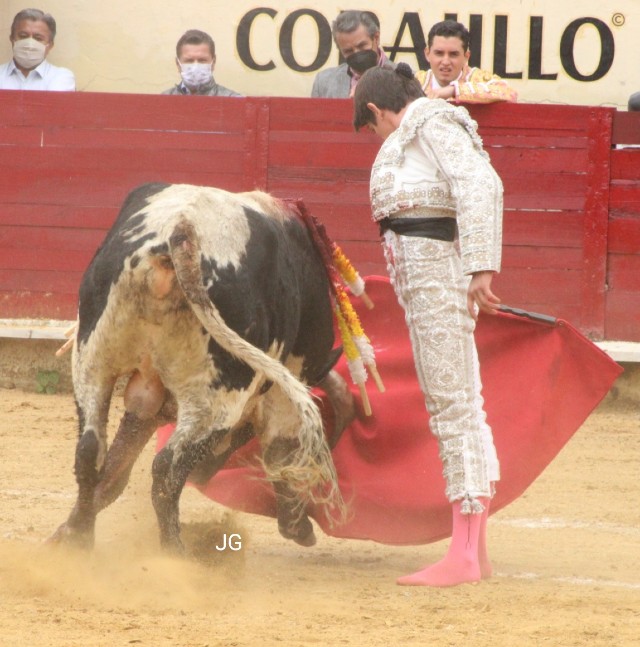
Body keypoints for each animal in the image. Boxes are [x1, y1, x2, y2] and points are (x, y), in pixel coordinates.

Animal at [50, 182, 351, 553]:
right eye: (247, 434)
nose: (204, 476)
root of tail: (183, 231)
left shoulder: (148, 401)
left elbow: (116, 469)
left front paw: (64, 532)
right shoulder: (278, 395)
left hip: (92, 363)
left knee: (90, 450)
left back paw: (80, 539)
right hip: (218, 398)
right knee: (166, 468)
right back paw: (174, 552)